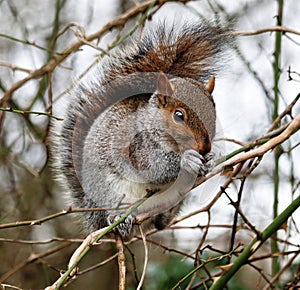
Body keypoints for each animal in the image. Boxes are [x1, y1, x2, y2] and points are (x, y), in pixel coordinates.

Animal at [51, 22, 230, 236]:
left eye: (213, 110)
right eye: (178, 115)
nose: (205, 148)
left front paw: (210, 159)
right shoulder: (137, 146)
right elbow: (154, 167)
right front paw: (187, 160)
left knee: (161, 223)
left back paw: (166, 213)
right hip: (105, 193)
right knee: (108, 219)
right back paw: (118, 219)